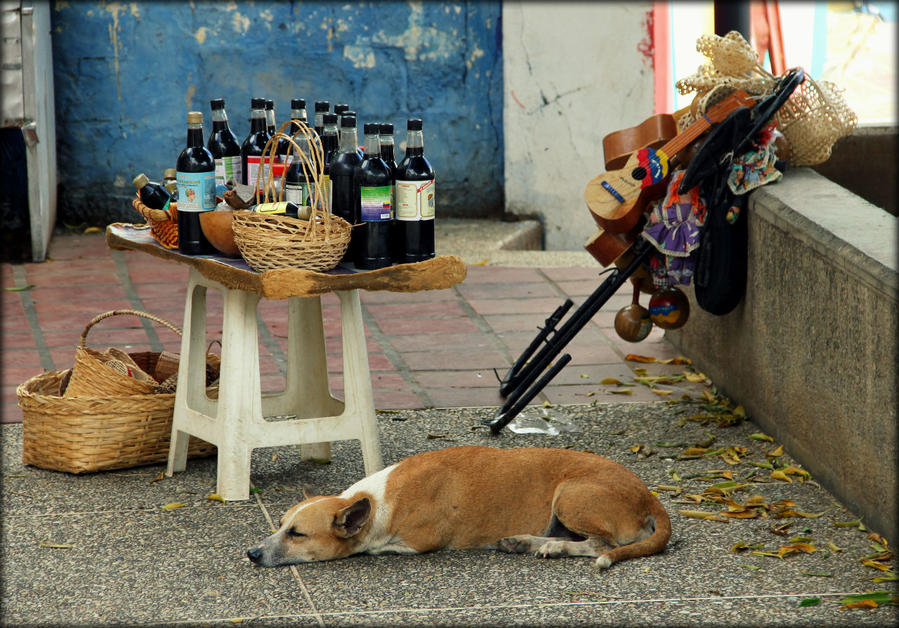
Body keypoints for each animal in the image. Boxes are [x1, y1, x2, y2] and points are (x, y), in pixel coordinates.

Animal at [246, 446, 668, 568]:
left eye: (297, 534)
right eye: (280, 523)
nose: (251, 553)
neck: (380, 500)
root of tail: (650, 497)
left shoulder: (415, 542)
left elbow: (380, 545)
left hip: (570, 496)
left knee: (600, 546)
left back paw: (554, 546)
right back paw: (526, 542)